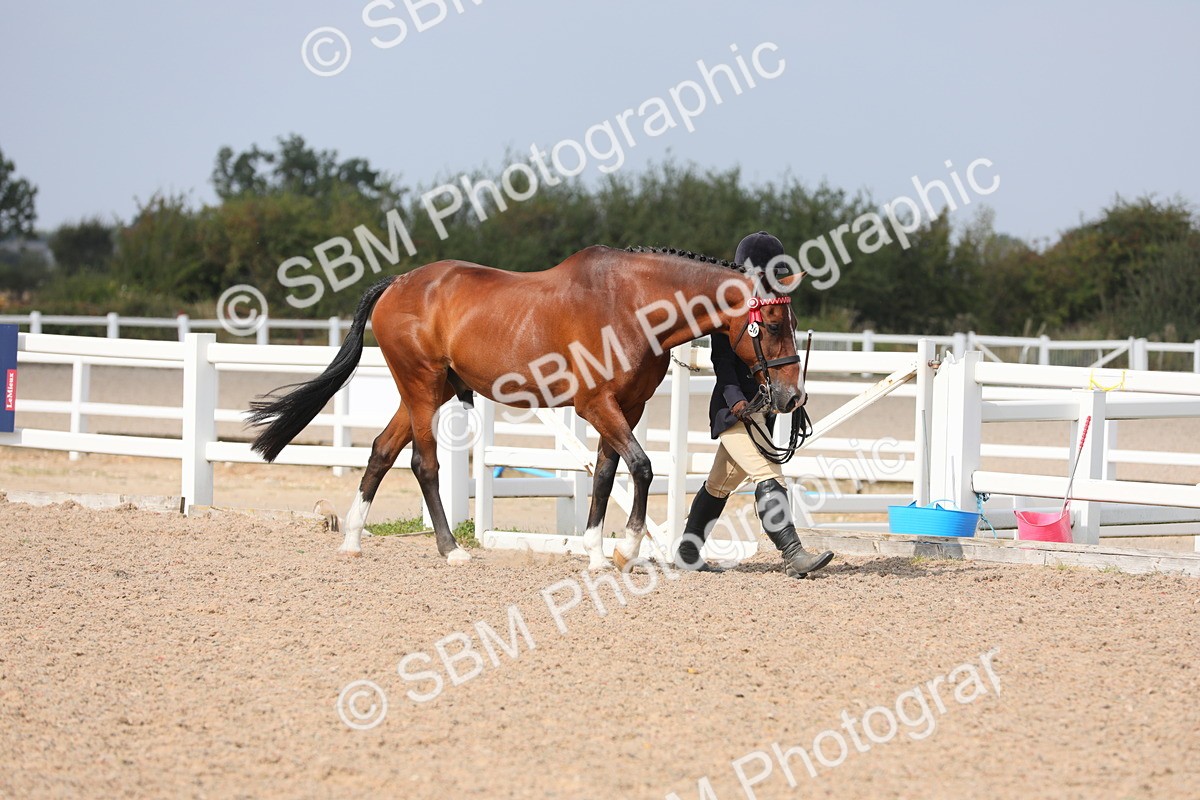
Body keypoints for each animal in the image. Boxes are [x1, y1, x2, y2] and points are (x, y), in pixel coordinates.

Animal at [246, 245, 806, 570]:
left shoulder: (627, 408)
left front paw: (596, 554)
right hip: (422, 387)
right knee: (423, 463)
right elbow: (643, 467)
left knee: (382, 451)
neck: (629, 303)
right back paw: (451, 551)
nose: (790, 398)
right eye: (773, 324)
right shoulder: (596, 405)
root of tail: (398, 283)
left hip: (429, 391)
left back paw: (353, 540)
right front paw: (624, 550)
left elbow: (606, 475)